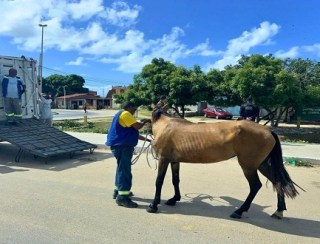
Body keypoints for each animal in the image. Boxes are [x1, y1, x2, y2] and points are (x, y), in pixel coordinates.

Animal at [148, 109, 300, 219]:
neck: (165, 126)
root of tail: (269, 130)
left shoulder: (164, 159)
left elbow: (159, 181)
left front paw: (153, 205)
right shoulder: (174, 161)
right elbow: (175, 180)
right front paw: (174, 199)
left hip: (248, 167)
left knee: (256, 186)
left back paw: (239, 211)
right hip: (262, 165)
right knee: (278, 182)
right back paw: (278, 211)